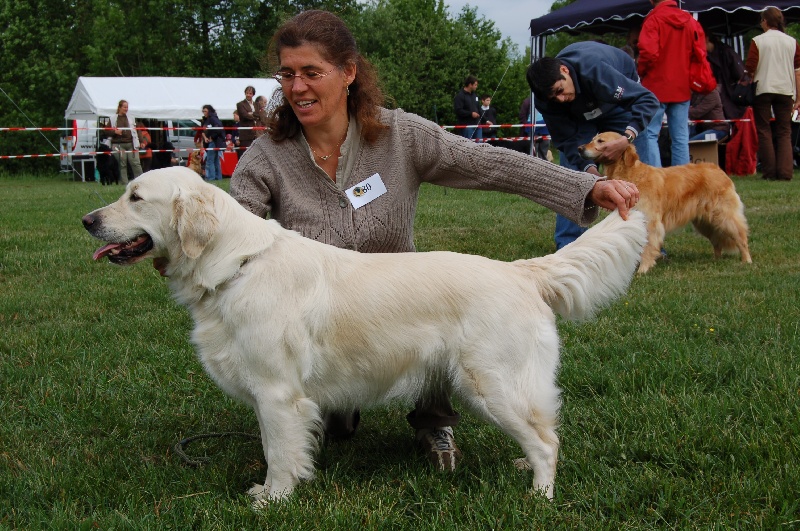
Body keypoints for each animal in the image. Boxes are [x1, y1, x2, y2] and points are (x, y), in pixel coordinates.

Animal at [83, 168, 644, 504]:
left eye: (136, 197)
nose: (87, 219)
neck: (234, 266)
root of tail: (521, 272)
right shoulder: (273, 394)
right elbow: (275, 446)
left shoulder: (276, 392)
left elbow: (278, 452)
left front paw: (274, 499)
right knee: (543, 431)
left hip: (493, 384)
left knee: (547, 441)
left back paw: (538, 496)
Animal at [580, 132, 752, 274]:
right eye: (592, 139)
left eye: (600, 141)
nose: (579, 148)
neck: (630, 174)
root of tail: (718, 169)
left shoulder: (650, 222)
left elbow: (647, 247)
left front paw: (643, 269)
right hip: (704, 222)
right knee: (717, 241)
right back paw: (716, 260)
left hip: (724, 217)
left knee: (741, 238)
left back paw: (746, 261)